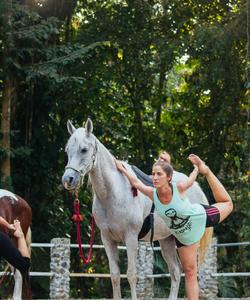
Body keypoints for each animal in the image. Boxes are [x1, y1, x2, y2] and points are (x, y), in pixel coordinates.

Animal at [61, 119, 212, 300]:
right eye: (67, 150)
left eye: (84, 149)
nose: (68, 179)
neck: (113, 192)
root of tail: (195, 187)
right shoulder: (107, 239)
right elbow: (115, 276)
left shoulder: (131, 237)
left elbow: (131, 275)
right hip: (166, 240)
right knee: (176, 272)